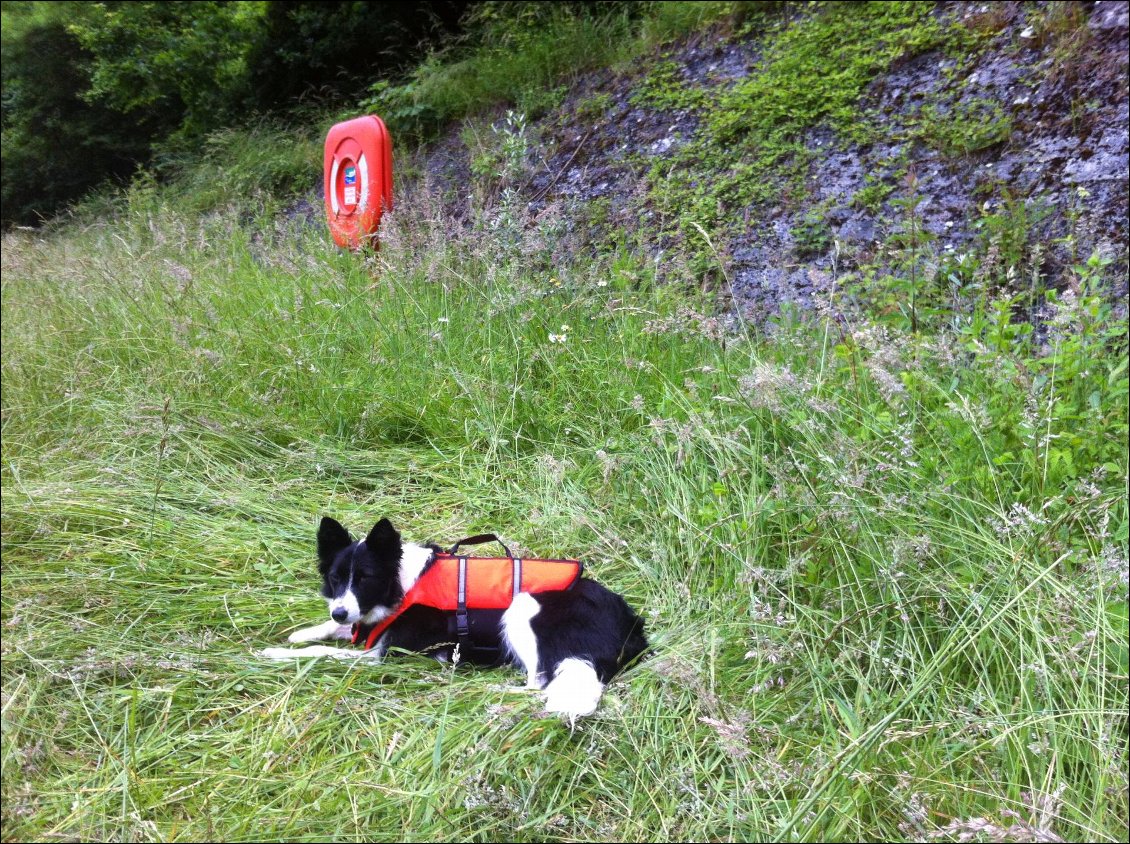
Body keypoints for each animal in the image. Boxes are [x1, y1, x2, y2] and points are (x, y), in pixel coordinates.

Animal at [258, 515, 646, 718]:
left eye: (365, 579)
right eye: (336, 579)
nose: (340, 612)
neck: (400, 585)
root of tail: (631, 626)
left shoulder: (381, 656)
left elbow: (322, 653)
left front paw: (276, 653)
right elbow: (331, 633)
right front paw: (300, 633)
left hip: (523, 607)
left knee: (539, 683)